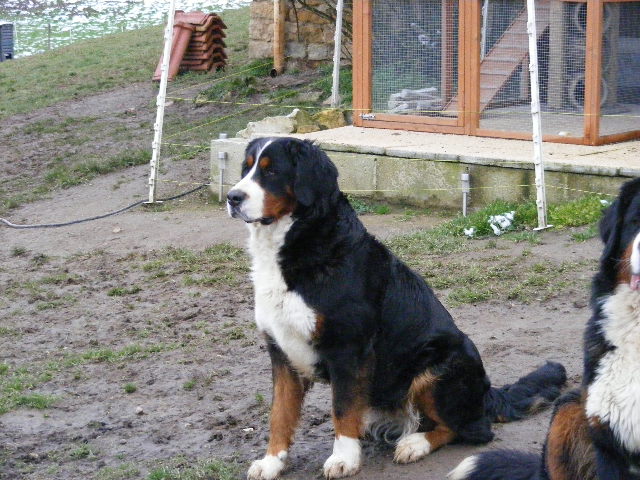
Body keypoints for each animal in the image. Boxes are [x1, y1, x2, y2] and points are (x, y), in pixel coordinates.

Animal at [225, 136, 564, 480]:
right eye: (246, 167)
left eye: (272, 171)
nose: (232, 197)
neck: (298, 247)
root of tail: (487, 392)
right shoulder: (281, 351)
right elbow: (279, 414)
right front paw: (271, 461)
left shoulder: (348, 348)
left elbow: (342, 409)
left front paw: (344, 458)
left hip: (439, 365)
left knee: (471, 429)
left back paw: (414, 444)